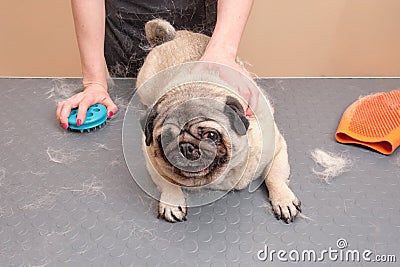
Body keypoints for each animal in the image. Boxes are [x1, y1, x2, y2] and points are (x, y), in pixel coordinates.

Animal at [135, 19, 300, 224]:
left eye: (211, 135)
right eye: (165, 139)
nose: (186, 147)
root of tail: (171, 37)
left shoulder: (276, 149)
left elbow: (274, 177)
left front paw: (283, 199)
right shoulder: (150, 157)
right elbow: (167, 181)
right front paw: (172, 201)